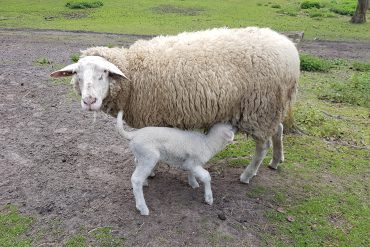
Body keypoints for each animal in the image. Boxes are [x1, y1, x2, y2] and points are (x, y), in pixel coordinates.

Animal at [50, 27, 300, 185]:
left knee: (263, 145)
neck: (132, 74)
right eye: (77, 74)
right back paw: (276, 161)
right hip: (273, 107)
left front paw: (150, 172)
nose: (89, 101)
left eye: (104, 72)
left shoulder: (151, 117)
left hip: (260, 107)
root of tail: (290, 48)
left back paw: (247, 176)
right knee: (278, 129)